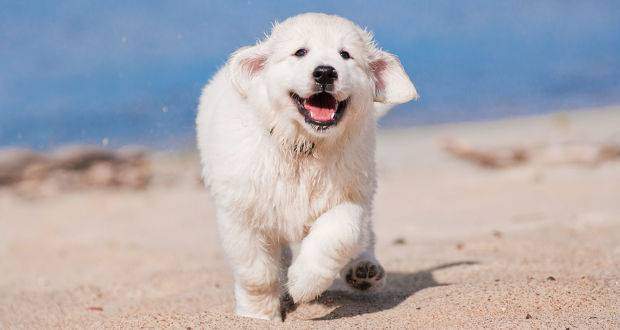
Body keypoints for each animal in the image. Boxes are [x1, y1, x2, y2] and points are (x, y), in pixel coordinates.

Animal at [195, 12, 416, 320]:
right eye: (300, 52)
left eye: (345, 55)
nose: (325, 72)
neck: (303, 147)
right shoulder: (241, 213)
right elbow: (255, 273)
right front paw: (257, 315)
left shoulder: (349, 197)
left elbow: (338, 234)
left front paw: (302, 284)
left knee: (365, 235)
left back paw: (364, 270)